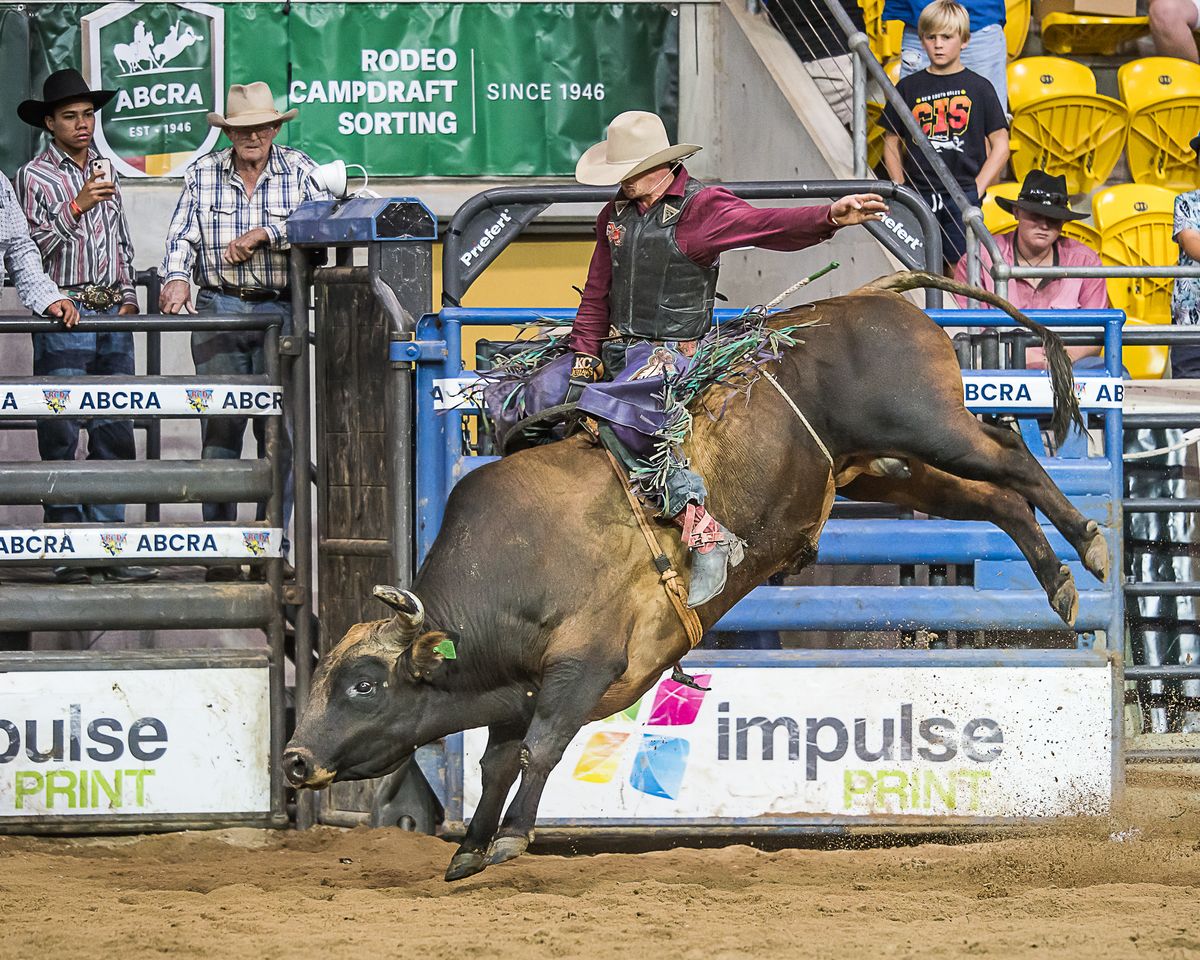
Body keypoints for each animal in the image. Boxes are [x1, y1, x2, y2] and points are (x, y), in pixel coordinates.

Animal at [280, 273, 1104, 883]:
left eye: (364, 685)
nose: (294, 760)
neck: (515, 565)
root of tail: (871, 298)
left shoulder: (584, 666)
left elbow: (542, 749)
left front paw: (511, 840)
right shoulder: (511, 689)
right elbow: (495, 762)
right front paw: (471, 849)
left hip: (926, 424)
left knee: (1009, 455)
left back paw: (1092, 545)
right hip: (891, 465)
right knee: (997, 497)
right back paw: (1061, 582)